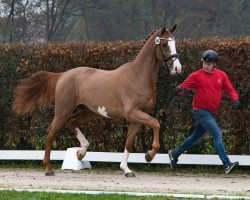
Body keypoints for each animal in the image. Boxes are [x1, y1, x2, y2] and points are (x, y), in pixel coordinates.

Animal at [12, 24, 182, 177]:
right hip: (63, 111)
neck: (138, 77)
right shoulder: (133, 113)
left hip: (89, 112)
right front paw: (149, 155)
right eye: (165, 44)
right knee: (51, 132)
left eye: (175, 43)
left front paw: (127, 169)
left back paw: (80, 153)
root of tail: (63, 75)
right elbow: (156, 123)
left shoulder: (137, 118)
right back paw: (49, 168)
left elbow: (129, 142)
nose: (177, 68)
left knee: (72, 123)